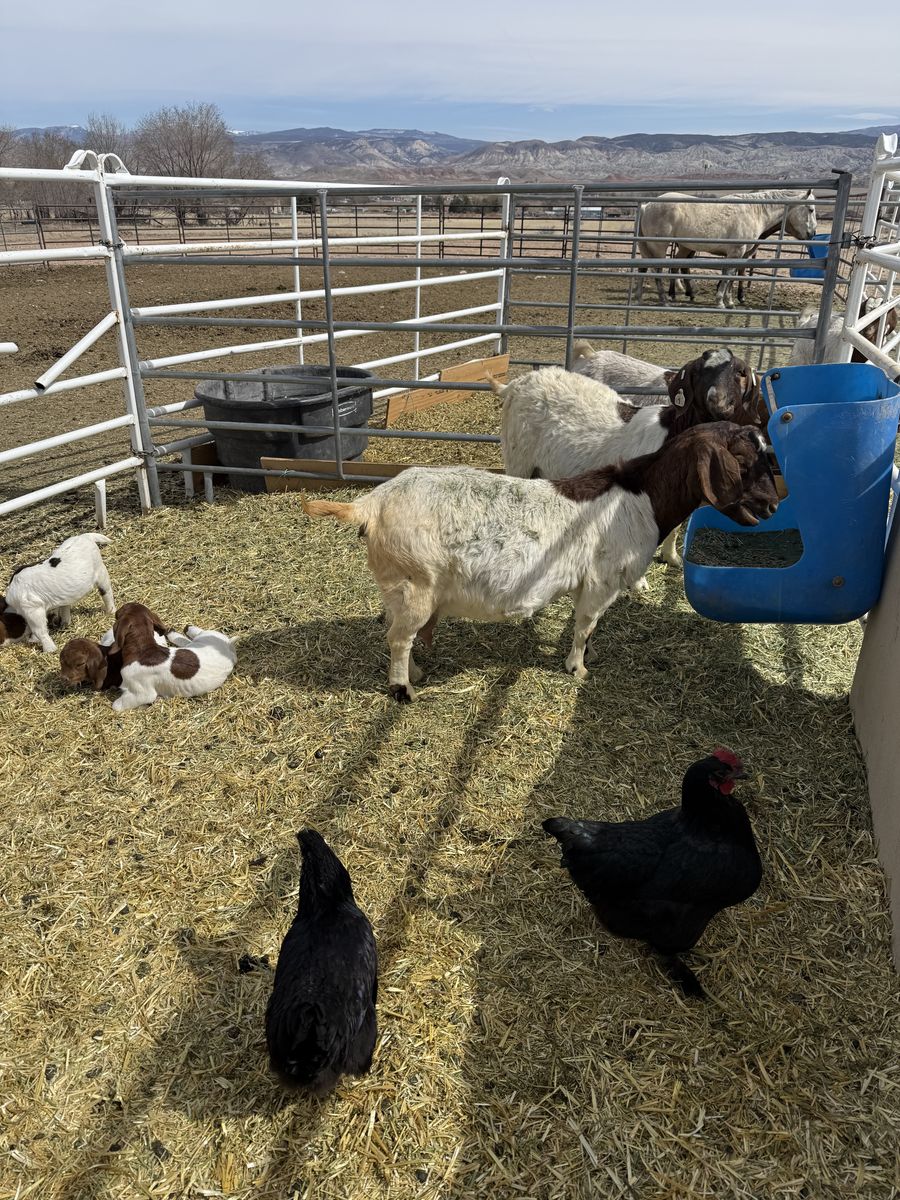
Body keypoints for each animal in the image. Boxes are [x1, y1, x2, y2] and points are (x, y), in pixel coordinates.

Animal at [302, 423, 779, 701]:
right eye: (742, 461)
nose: (773, 505)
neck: (642, 497)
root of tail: (371, 502)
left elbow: (589, 628)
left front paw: (587, 657)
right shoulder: (600, 582)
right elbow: (584, 625)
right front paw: (578, 668)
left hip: (401, 590)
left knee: (398, 633)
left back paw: (416, 674)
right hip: (415, 584)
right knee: (399, 639)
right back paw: (403, 689)